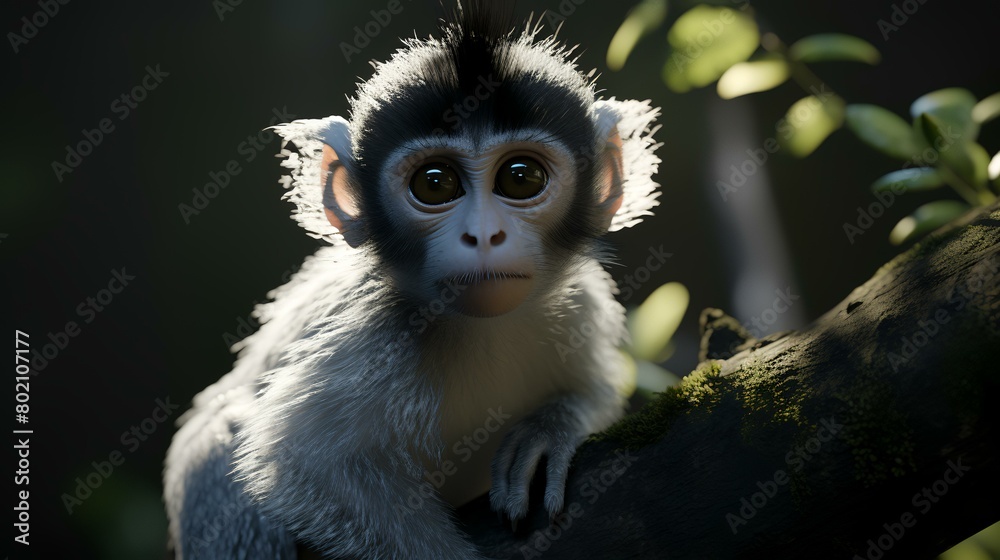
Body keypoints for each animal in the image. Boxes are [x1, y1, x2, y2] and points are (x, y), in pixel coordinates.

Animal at [163, 2, 661, 558]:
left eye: (521, 177)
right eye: (435, 184)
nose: (483, 234)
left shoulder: (579, 303)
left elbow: (597, 388)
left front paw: (549, 430)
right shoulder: (377, 336)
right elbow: (303, 466)